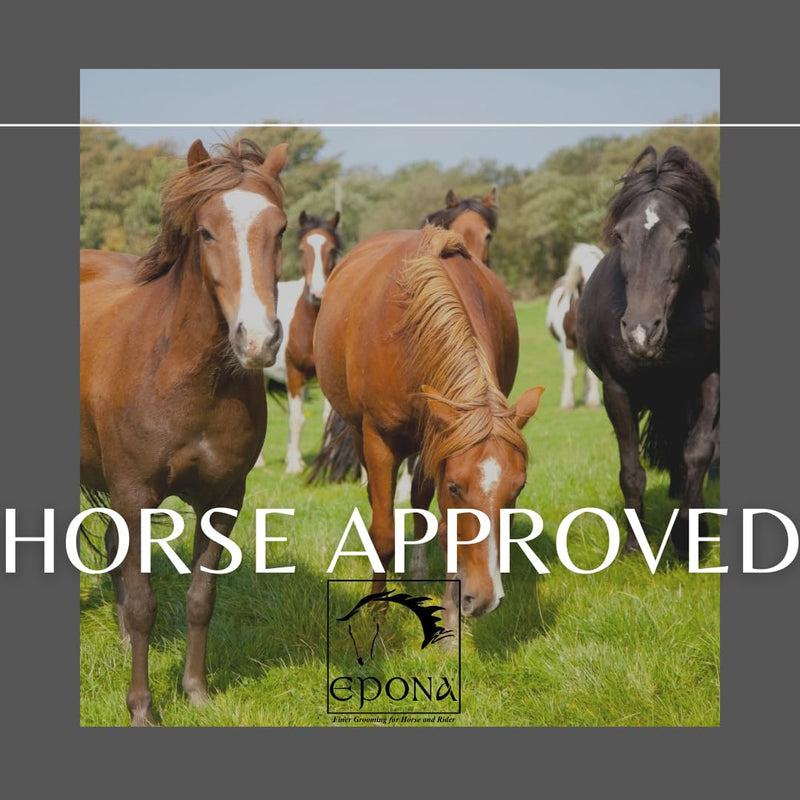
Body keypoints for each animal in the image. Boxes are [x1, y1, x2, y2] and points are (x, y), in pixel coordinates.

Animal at [80, 138, 289, 725]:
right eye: (207, 232)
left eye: (281, 230)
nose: (258, 340)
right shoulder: (134, 495)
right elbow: (146, 604)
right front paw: (142, 709)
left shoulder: (223, 500)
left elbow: (200, 599)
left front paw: (196, 691)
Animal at [261, 210, 343, 473]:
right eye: (301, 250)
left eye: (332, 249)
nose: (317, 294)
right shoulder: (295, 374)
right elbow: (297, 419)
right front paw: (295, 465)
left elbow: (325, 418)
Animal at [314, 225, 544, 632]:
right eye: (455, 487)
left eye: (518, 488)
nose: (485, 599)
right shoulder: (380, 441)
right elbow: (384, 533)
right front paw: (377, 611)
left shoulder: (437, 440)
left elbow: (437, 519)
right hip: (361, 433)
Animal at [545, 243, 604, 409]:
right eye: (581, 271)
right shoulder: (568, 343)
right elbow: (570, 372)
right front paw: (567, 402)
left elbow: (590, 374)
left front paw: (592, 401)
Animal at [577, 145, 720, 555]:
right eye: (619, 235)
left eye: (684, 233)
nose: (641, 332)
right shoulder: (616, 389)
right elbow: (631, 471)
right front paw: (632, 547)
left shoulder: (711, 376)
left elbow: (698, 453)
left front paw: (688, 539)